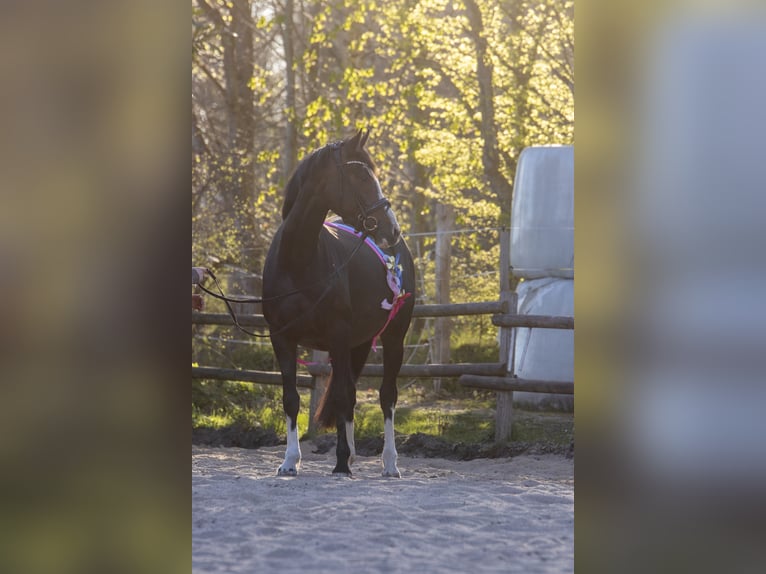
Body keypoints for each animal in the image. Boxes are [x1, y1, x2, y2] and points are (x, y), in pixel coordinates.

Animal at [266, 133, 420, 480]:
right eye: (361, 176)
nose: (392, 229)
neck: (297, 261)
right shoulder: (282, 338)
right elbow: (292, 398)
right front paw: (290, 461)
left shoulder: (337, 336)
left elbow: (342, 397)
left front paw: (338, 462)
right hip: (358, 342)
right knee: (348, 393)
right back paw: (349, 457)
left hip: (393, 337)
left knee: (386, 396)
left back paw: (389, 464)